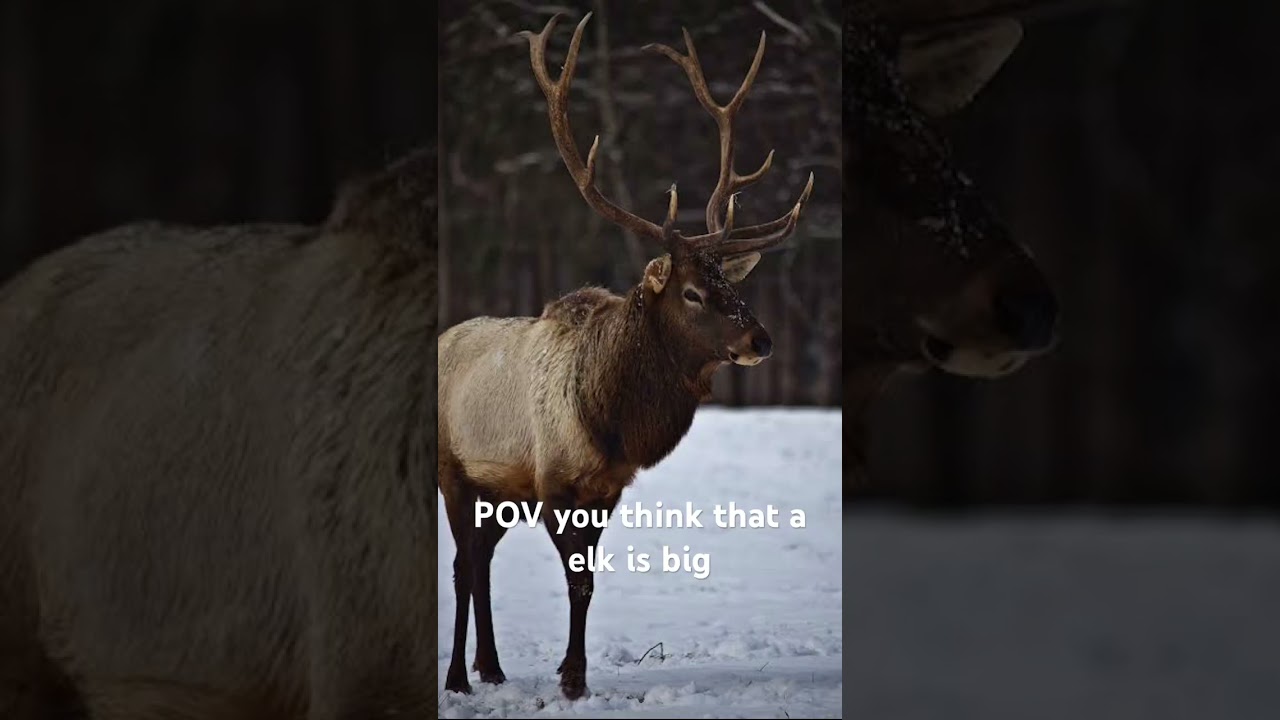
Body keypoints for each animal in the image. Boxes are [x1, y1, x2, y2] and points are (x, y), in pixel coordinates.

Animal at [438, 13, 815, 701]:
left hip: (496, 490)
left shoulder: (605, 489)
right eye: (692, 291)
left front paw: (574, 673)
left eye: (731, 285)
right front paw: (571, 678)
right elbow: (576, 579)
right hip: (452, 471)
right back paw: (457, 677)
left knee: (480, 561)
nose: (761, 340)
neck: (611, 422)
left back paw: (492, 667)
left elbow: (588, 584)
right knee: (461, 564)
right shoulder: (555, 482)